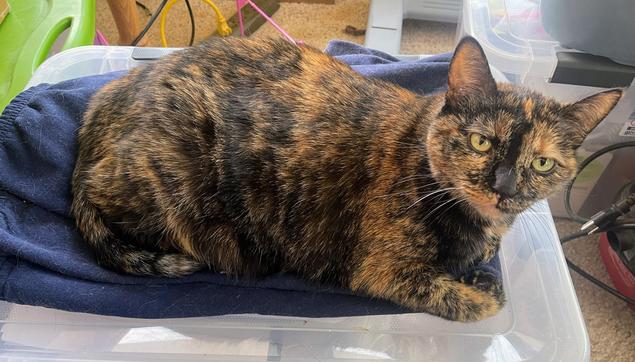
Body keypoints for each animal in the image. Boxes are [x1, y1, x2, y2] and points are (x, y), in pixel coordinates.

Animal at [71, 36, 620, 320]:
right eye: (482, 142)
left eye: (542, 164)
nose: (504, 188)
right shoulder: (384, 271)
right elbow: (481, 301)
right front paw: (480, 286)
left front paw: (480, 267)